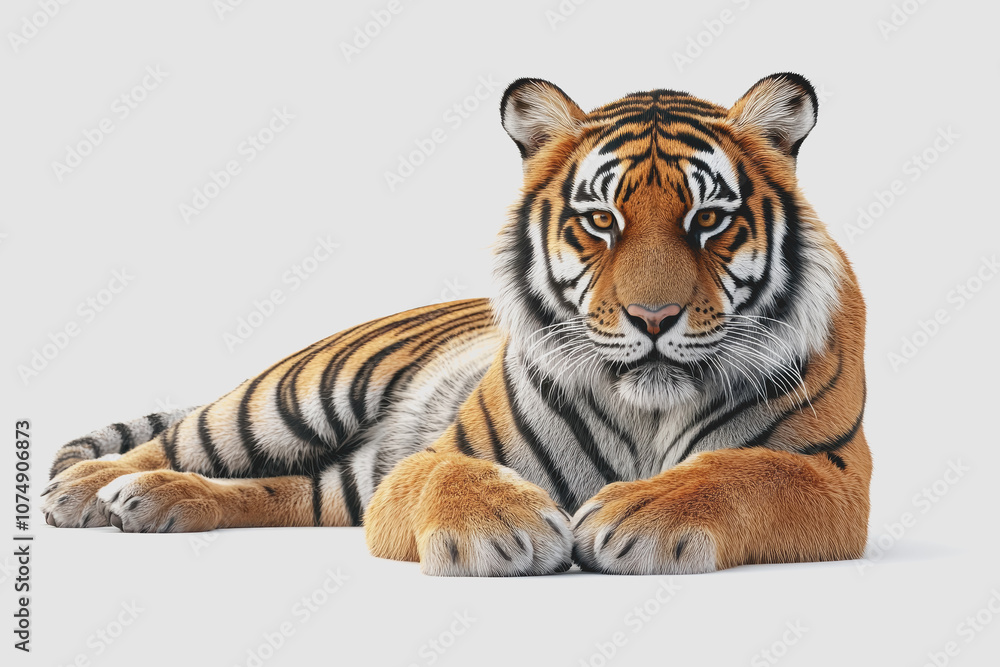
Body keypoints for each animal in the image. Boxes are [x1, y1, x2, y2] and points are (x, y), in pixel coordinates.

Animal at [42, 73, 870, 577]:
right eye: (601, 220)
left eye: (709, 220)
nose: (654, 317)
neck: (648, 407)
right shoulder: (435, 454)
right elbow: (449, 472)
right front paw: (503, 531)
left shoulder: (836, 475)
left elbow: (744, 471)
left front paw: (640, 509)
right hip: (293, 394)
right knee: (178, 438)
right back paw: (86, 489)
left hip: (343, 480)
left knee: (281, 488)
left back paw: (158, 501)